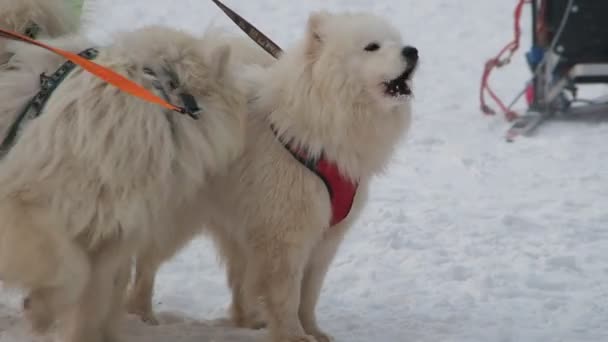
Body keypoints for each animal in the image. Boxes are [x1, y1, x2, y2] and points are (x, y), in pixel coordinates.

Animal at [129, 9, 418, 342]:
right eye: (372, 47)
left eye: (396, 41)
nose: (412, 51)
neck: (318, 125)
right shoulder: (286, 233)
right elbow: (287, 294)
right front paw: (294, 335)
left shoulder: (324, 237)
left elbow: (309, 294)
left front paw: (314, 332)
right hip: (178, 216)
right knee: (147, 262)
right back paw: (142, 314)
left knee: (238, 280)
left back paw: (248, 321)